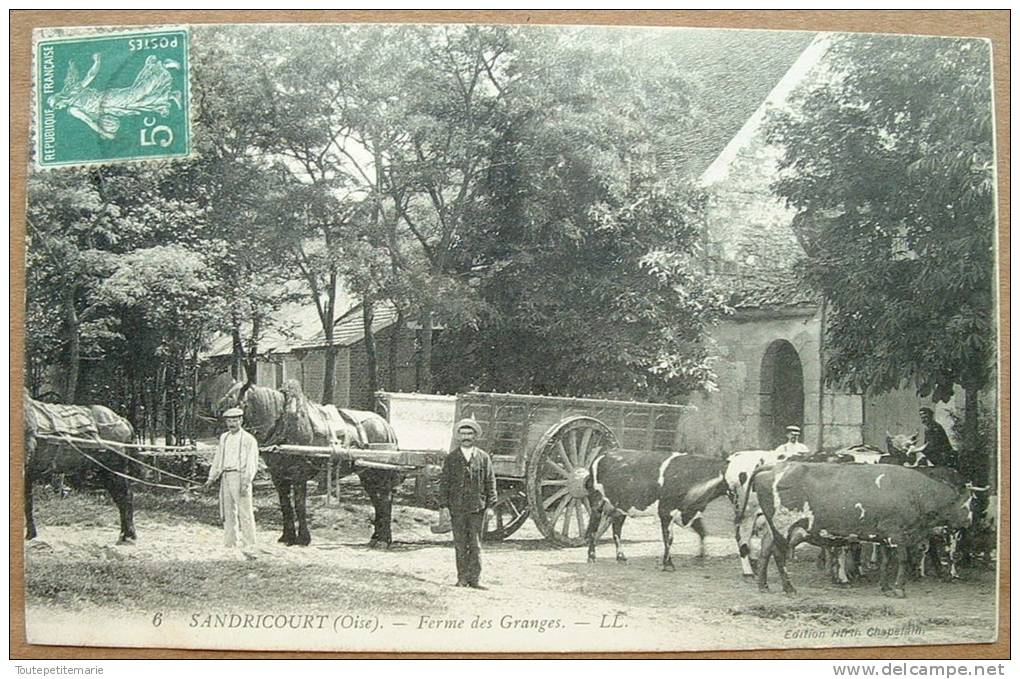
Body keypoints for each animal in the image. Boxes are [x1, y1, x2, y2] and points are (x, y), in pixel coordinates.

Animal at [23, 391, 137, 546]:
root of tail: (121, 420)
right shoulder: (28, 473)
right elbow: (28, 502)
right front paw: (31, 534)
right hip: (106, 471)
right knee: (120, 497)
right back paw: (125, 534)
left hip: (115, 468)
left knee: (126, 496)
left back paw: (128, 535)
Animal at [216, 377, 401, 546]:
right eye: (224, 401)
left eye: (236, 404)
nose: (223, 426)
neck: (284, 425)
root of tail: (385, 425)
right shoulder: (278, 476)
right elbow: (285, 505)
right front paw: (287, 536)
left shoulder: (299, 475)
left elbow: (299, 505)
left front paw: (303, 538)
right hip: (367, 474)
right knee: (378, 500)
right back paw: (376, 536)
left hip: (379, 472)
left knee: (386, 499)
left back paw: (384, 539)